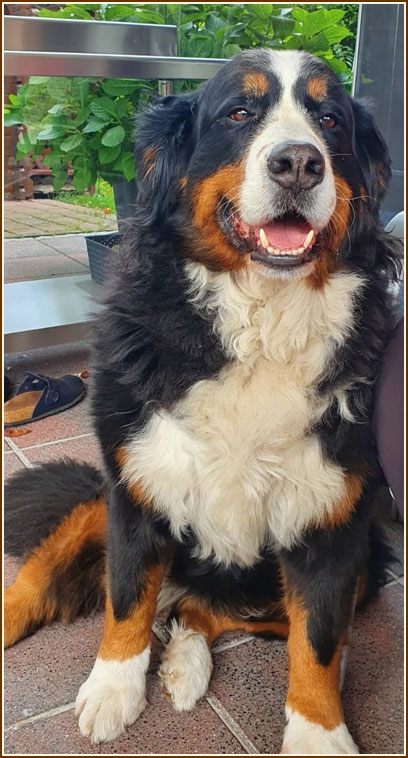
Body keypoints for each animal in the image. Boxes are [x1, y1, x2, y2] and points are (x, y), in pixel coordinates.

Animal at [4, 49, 402, 754]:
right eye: (239, 112)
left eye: (330, 119)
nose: (299, 162)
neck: (260, 321)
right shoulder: (136, 485)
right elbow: (127, 598)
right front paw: (114, 687)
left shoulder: (331, 522)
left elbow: (319, 645)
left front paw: (318, 734)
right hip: (96, 505)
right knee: (49, 585)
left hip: (367, 561)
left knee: (200, 611)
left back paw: (186, 663)